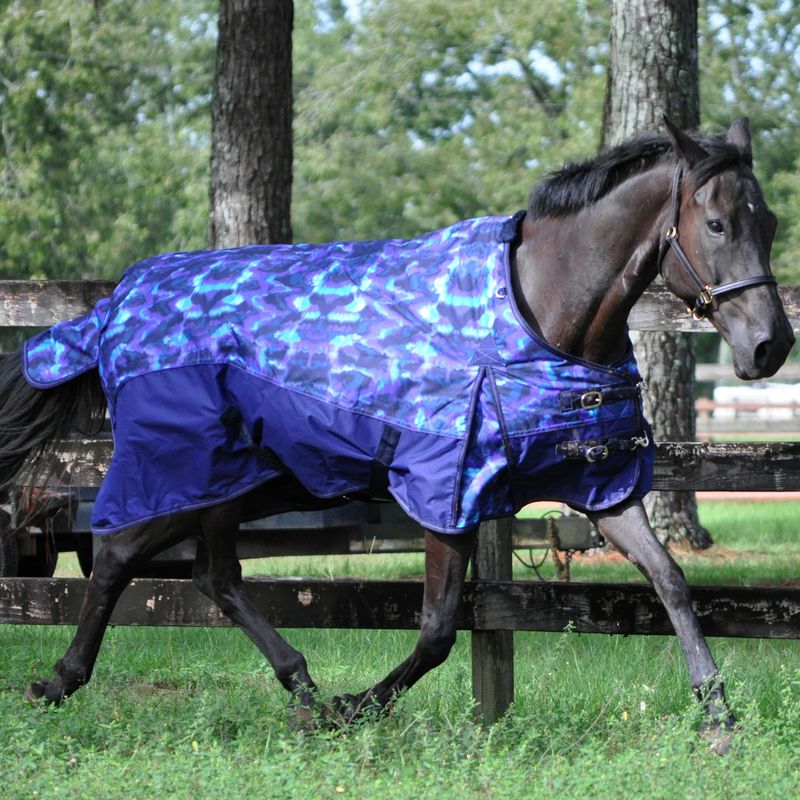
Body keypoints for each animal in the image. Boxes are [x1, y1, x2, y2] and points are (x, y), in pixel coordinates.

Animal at [0, 117, 793, 746]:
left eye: (770, 222)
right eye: (717, 224)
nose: (770, 346)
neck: (538, 309)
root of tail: (114, 305)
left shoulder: (600, 488)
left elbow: (671, 582)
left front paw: (718, 716)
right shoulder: (448, 493)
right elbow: (439, 630)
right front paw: (362, 708)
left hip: (248, 479)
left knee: (212, 575)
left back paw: (304, 690)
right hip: (187, 470)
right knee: (118, 553)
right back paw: (58, 683)